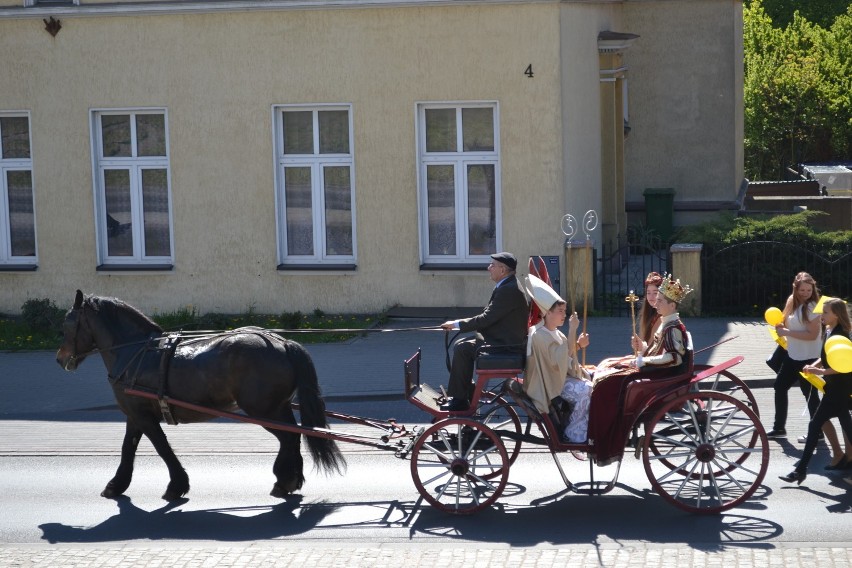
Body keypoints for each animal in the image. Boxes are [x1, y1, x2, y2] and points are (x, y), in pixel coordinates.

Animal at [55, 290, 346, 500]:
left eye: (68, 325)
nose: (60, 359)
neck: (135, 351)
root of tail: (281, 342)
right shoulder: (135, 415)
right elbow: (128, 447)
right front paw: (117, 485)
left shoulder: (143, 416)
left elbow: (161, 447)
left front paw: (176, 486)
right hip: (278, 407)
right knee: (294, 436)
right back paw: (289, 479)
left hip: (264, 410)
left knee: (289, 437)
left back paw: (284, 479)